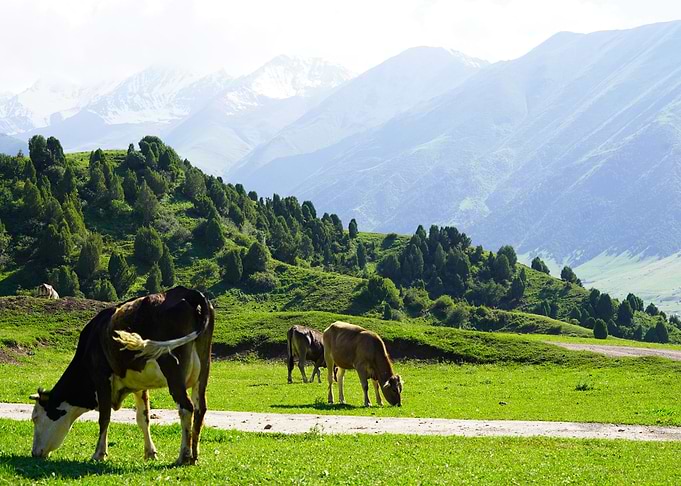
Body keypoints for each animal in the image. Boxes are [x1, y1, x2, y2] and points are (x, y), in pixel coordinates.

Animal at [28, 286, 214, 466]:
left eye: (35, 418)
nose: (34, 453)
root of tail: (189, 292)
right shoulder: (139, 385)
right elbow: (143, 418)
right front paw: (150, 453)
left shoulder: (102, 377)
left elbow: (104, 417)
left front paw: (99, 454)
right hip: (203, 372)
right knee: (200, 408)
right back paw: (194, 456)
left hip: (173, 372)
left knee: (186, 408)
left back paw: (184, 455)